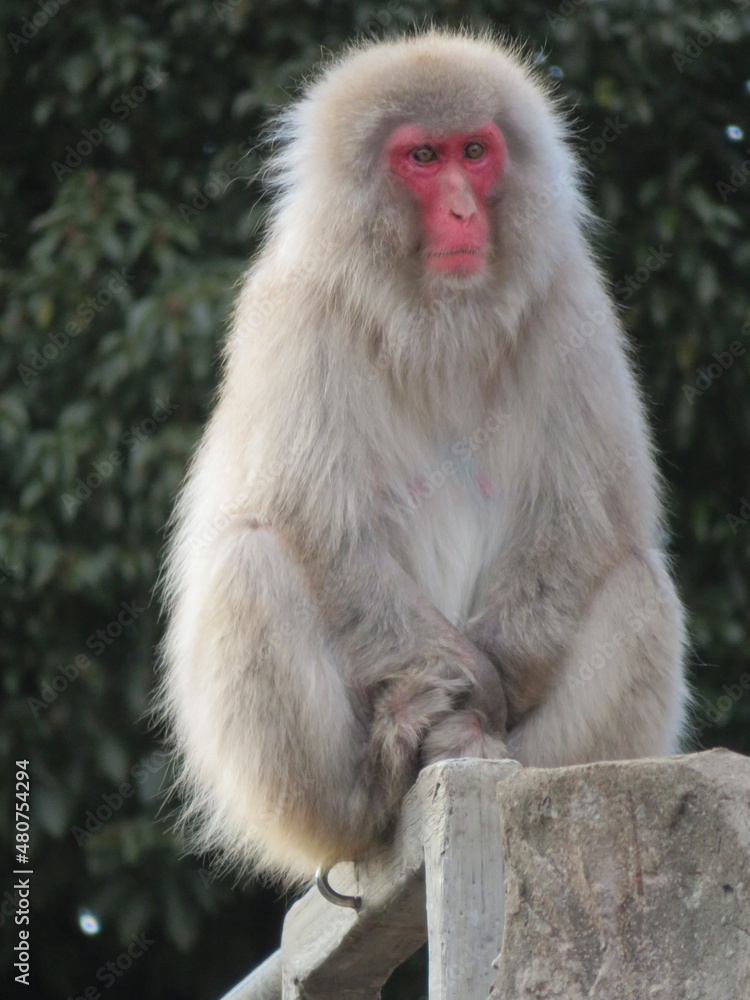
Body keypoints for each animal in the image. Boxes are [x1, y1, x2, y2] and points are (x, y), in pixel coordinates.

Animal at [158, 30, 689, 887]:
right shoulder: (299, 311)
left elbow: (582, 520)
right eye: (423, 157)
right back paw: (373, 783)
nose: (463, 209)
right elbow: (321, 529)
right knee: (253, 559)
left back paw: (496, 756)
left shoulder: (570, 302)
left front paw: (488, 689)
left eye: (474, 151)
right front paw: (463, 684)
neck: (438, 321)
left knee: (636, 580)